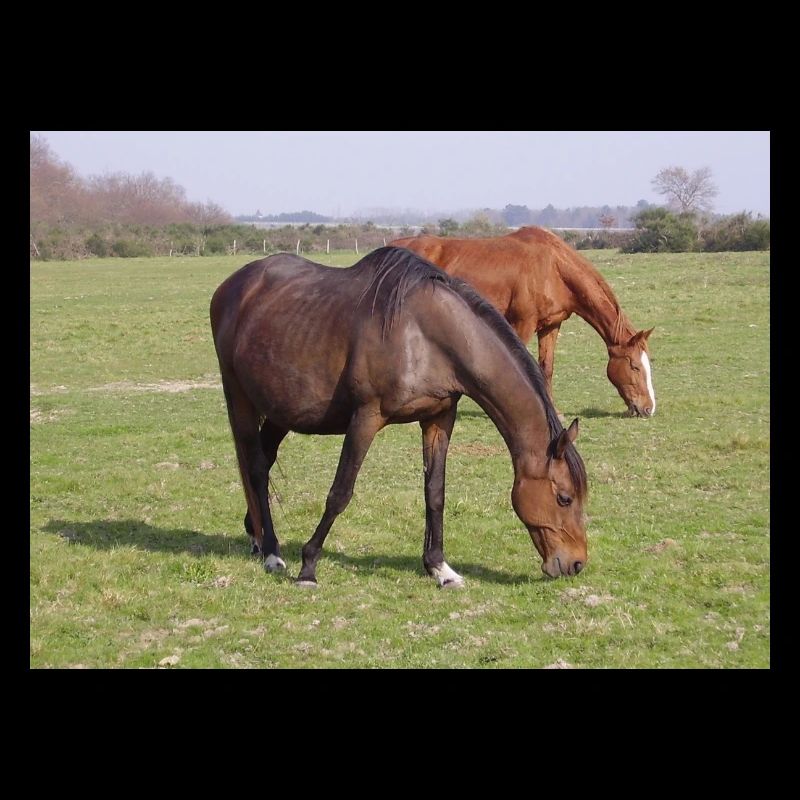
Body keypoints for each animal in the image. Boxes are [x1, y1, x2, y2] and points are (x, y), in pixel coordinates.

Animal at [210, 246, 589, 587]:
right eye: (564, 498)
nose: (576, 564)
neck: (423, 335)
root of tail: (232, 286)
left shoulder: (439, 418)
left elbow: (435, 492)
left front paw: (439, 567)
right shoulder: (366, 417)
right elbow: (340, 492)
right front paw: (309, 566)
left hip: (282, 410)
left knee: (263, 462)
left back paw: (257, 537)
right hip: (239, 398)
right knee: (256, 469)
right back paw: (273, 552)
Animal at [390, 226, 656, 418]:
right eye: (634, 366)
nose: (648, 408)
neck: (553, 267)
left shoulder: (551, 326)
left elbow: (546, 368)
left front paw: (555, 410)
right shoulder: (523, 323)